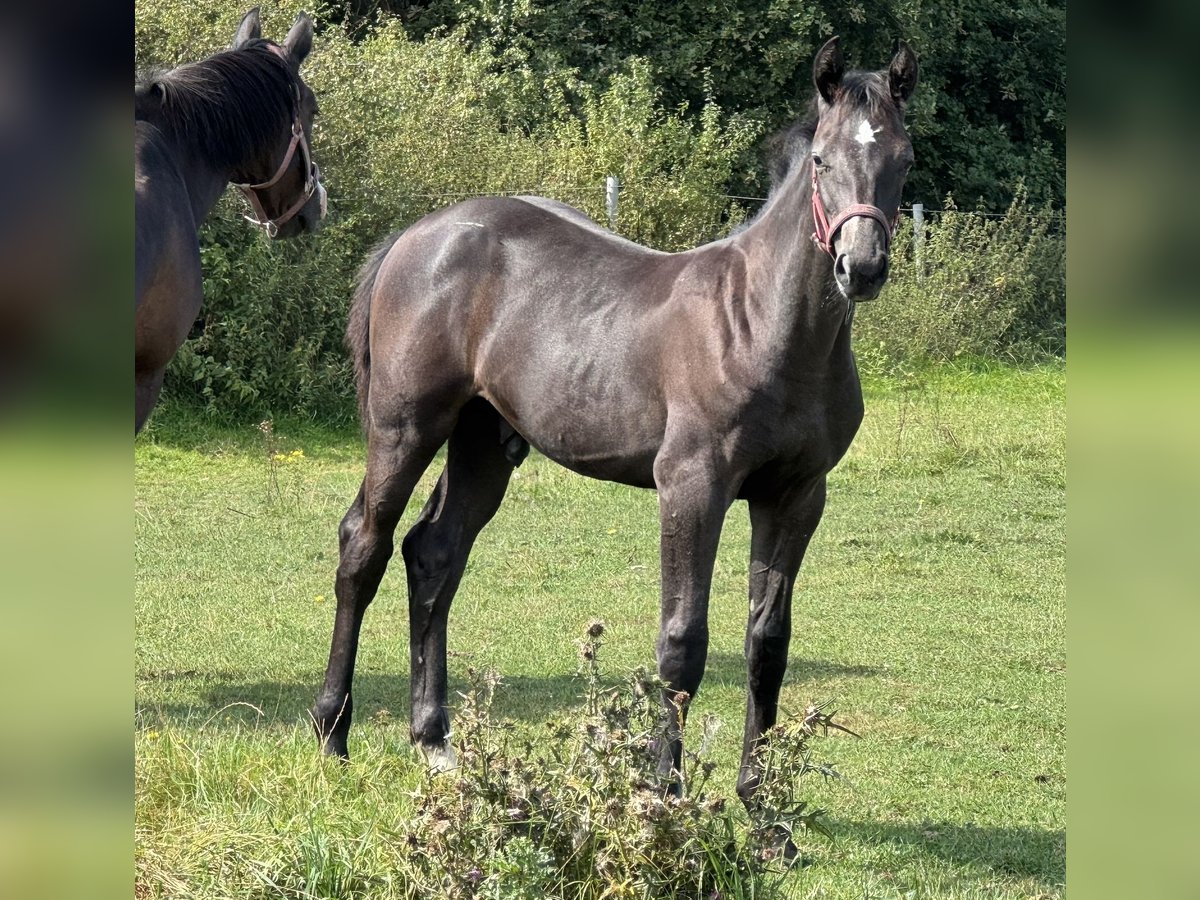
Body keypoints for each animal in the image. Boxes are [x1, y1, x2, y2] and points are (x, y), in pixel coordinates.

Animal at [313, 37, 918, 810]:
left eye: (903, 158)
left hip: (485, 441)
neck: (762, 324)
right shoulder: (692, 485)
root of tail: (418, 235)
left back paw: (435, 743)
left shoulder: (796, 496)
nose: (860, 267)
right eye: (821, 159)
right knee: (365, 545)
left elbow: (768, 643)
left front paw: (761, 805)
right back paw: (332, 733)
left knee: (433, 552)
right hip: (406, 427)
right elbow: (681, 642)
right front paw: (662, 790)